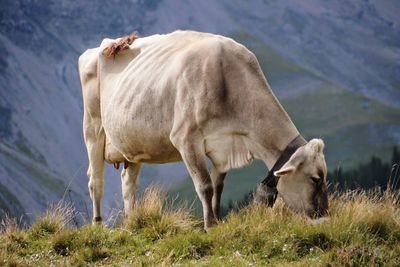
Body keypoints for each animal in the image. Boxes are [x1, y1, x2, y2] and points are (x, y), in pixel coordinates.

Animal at [77, 29, 328, 230]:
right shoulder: (186, 139)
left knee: (128, 184)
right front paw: (209, 225)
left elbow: (218, 186)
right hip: (93, 128)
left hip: (134, 142)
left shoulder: (224, 147)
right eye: (315, 179)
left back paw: (131, 223)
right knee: (95, 181)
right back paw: (98, 225)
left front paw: (217, 220)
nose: (325, 218)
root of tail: (102, 46)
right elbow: (205, 186)